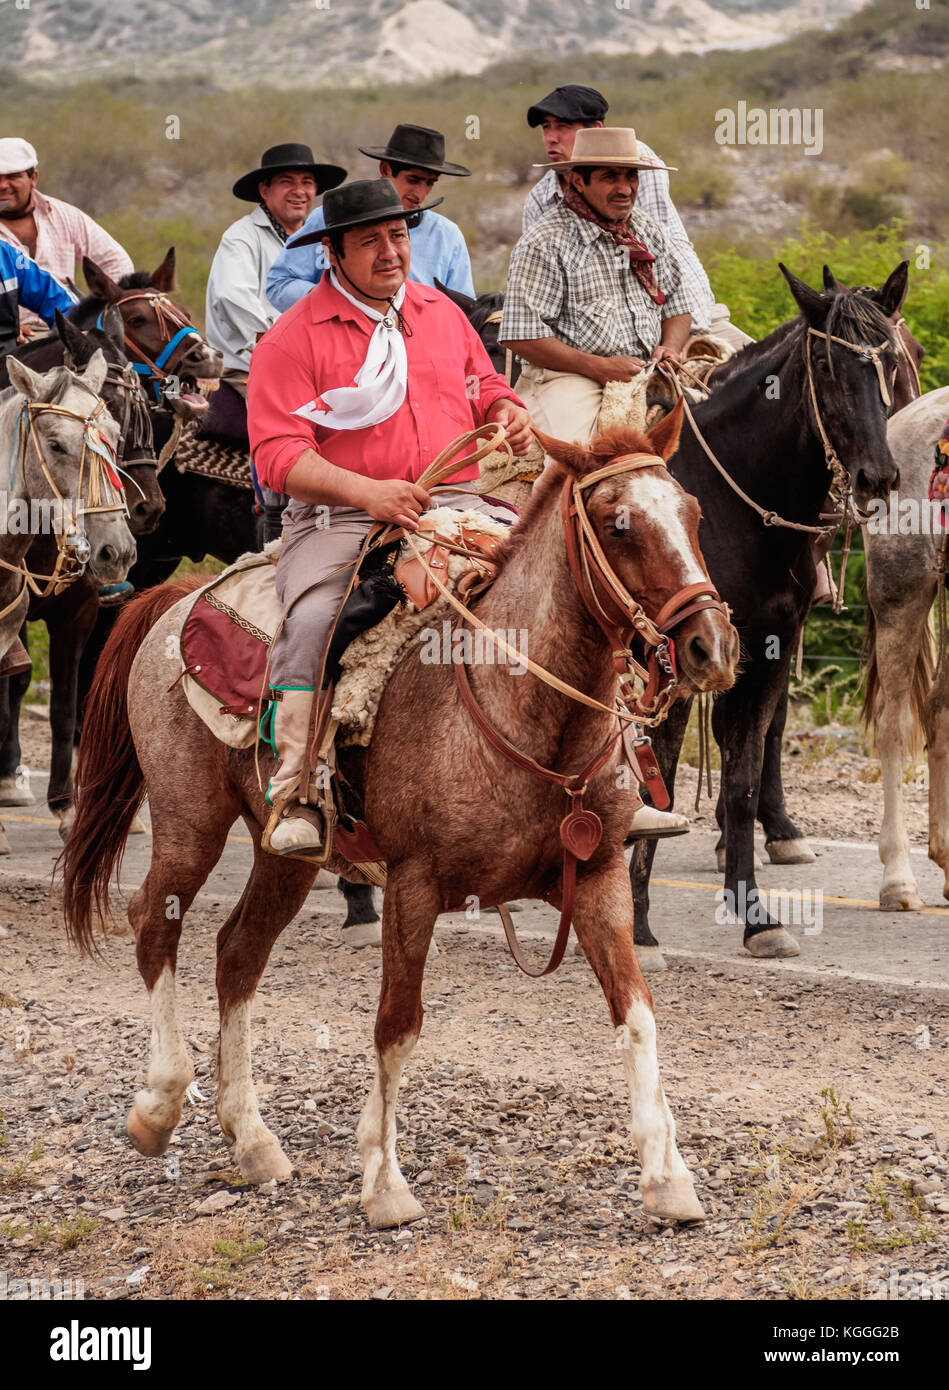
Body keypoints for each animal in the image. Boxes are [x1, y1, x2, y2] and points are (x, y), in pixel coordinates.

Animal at [61, 405, 738, 1229]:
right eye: (617, 525)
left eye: (692, 514)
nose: (710, 646)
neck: (520, 708)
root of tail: (181, 598)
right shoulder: (413, 887)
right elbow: (396, 1024)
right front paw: (383, 1182)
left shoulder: (600, 876)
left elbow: (636, 1015)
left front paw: (667, 1176)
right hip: (190, 821)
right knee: (153, 921)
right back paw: (158, 1104)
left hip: (284, 855)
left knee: (237, 952)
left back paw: (251, 1138)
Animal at [629, 263, 905, 968]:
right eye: (828, 365)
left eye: (889, 360)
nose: (877, 478)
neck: (731, 505)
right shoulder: (673, 665)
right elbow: (659, 785)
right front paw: (638, 929)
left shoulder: (769, 647)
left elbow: (743, 776)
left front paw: (755, 915)